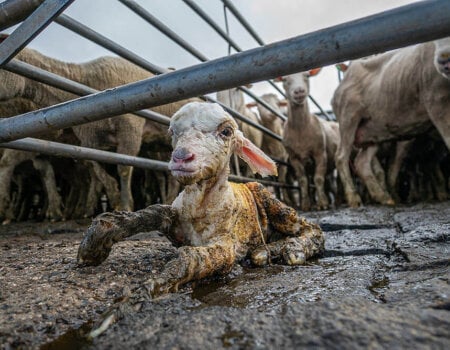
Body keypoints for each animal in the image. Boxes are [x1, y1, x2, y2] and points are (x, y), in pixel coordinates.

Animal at [77, 101, 324, 296]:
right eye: (172, 132)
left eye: (226, 132)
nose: (180, 157)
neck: (200, 206)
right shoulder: (175, 220)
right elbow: (154, 212)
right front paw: (95, 242)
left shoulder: (226, 244)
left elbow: (193, 258)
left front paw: (144, 292)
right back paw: (265, 250)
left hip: (268, 199)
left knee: (310, 228)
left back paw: (290, 248)